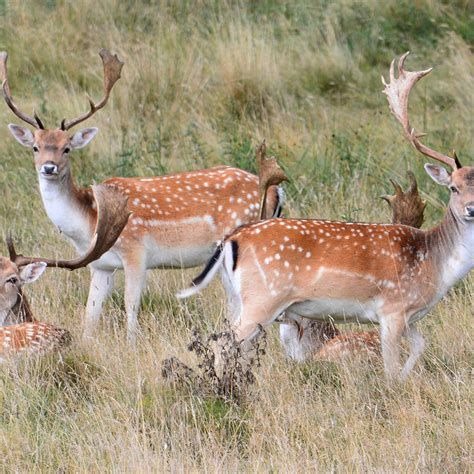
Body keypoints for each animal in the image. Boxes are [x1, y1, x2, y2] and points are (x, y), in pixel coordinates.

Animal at [179, 51, 474, 380]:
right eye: (452, 188)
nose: (471, 209)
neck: (434, 267)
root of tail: (233, 238)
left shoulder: (407, 317)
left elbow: (421, 345)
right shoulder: (392, 309)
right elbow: (390, 365)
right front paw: (394, 385)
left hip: (234, 298)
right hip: (262, 298)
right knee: (224, 345)